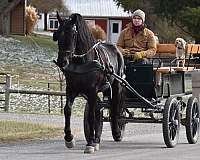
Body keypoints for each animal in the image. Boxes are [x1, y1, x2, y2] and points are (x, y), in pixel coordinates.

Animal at [53, 12, 125, 152]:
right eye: (57, 34)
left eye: (73, 34)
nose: (62, 61)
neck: (82, 62)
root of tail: (115, 48)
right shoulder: (71, 89)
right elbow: (67, 110)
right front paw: (69, 138)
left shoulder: (92, 90)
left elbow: (92, 116)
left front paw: (90, 143)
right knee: (98, 110)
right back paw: (97, 139)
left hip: (116, 85)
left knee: (114, 108)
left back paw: (115, 132)